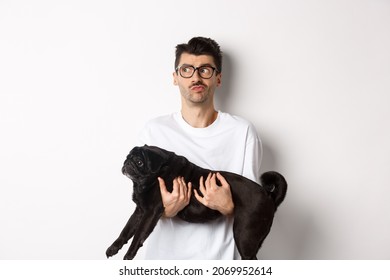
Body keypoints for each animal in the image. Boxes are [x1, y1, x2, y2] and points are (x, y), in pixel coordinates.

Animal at [106, 145, 286, 260]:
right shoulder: (140, 212)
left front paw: (129, 255)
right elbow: (126, 231)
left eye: (139, 162)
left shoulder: (150, 213)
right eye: (128, 157)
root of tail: (268, 196)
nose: (127, 162)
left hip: (244, 236)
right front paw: (114, 248)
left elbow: (137, 236)